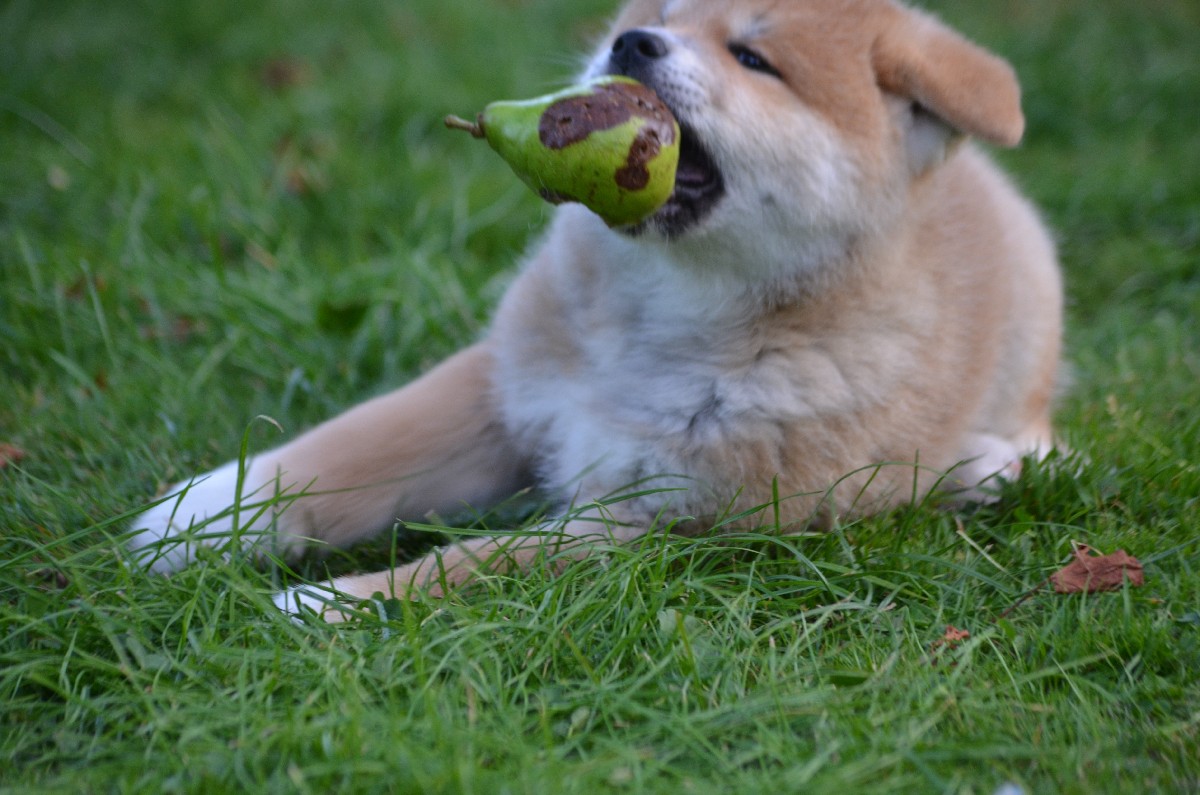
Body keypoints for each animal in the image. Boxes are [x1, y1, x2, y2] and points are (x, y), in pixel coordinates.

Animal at [130, 0, 1063, 620]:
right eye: (663, 14)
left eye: (754, 59)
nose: (633, 42)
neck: (655, 317)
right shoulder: (499, 388)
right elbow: (356, 444)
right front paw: (205, 513)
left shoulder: (658, 515)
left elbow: (480, 559)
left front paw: (342, 600)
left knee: (1032, 444)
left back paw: (978, 469)